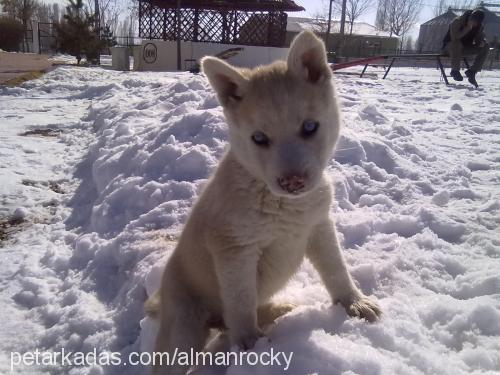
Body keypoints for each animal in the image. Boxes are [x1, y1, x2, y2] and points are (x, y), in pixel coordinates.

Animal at [146, 30, 380, 375]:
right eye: (259, 139)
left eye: (310, 127)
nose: (293, 182)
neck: (281, 202)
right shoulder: (234, 249)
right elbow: (241, 301)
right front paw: (250, 346)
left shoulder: (318, 226)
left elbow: (336, 269)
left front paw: (354, 302)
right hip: (182, 326)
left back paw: (277, 311)